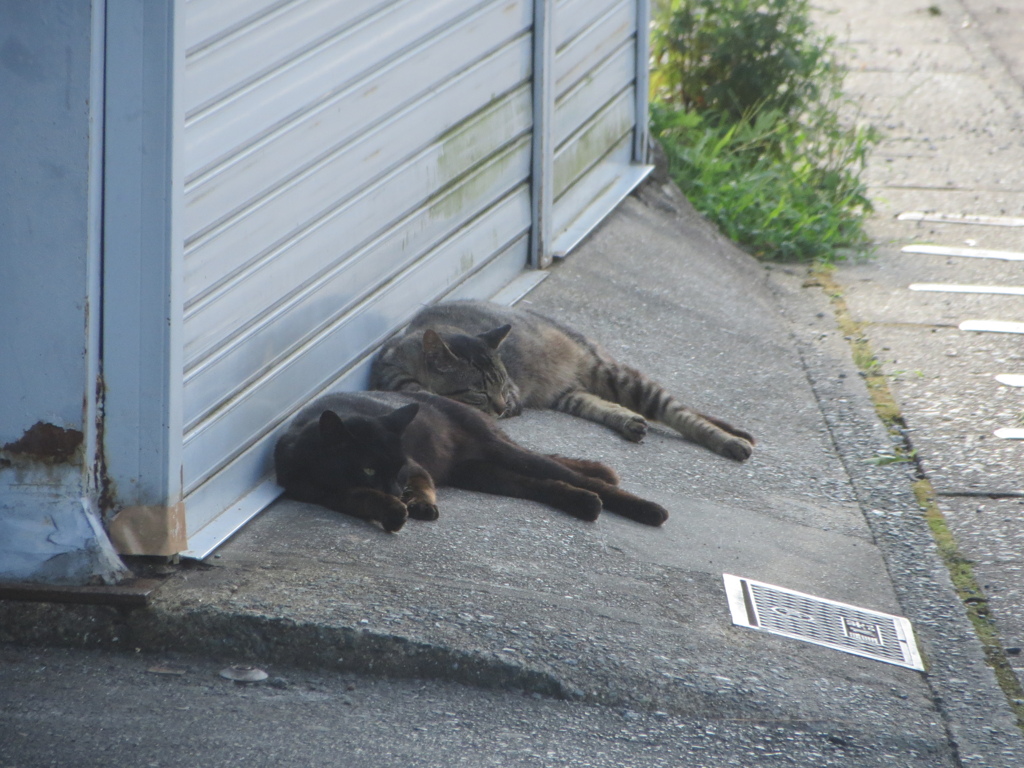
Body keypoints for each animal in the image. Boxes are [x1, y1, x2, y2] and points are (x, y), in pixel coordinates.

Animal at [274, 393, 671, 532]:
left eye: (397, 469)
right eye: (369, 468)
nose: (396, 490)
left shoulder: (417, 469)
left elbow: (423, 488)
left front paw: (417, 505)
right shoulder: (316, 492)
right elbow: (359, 496)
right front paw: (392, 509)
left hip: (498, 452)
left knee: (570, 474)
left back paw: (649, 510)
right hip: (485, 474)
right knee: (545, 485)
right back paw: (585, 504)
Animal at [368, 301, 753, 460]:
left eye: (501, 385)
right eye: (479, 389)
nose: (501, 406)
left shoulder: (514, 397)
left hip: (619, 377)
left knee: (682, 412)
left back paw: (732, 441)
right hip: (572, 395)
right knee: (604, 405)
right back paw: (629, 421)